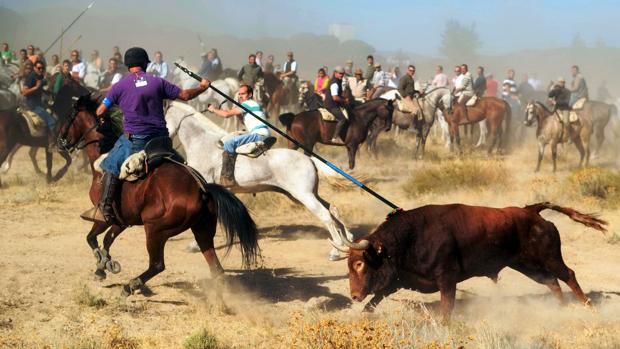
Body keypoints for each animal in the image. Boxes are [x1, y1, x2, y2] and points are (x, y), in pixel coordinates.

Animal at [58, 96, 260, 296]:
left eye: (69, 116)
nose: (60, 142)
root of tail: (202, 190)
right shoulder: (122, 220)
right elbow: (107, 240)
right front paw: (102, 266)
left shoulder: (103, 216)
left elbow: (91, 238)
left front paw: (103, 264)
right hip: (202, 231)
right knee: (215, 268)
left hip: (155, 230)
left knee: (157, 264)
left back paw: (131, 285)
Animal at [166, 100, 354, 258]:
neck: (202, 142)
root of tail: (309, 159)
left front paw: (195, 245)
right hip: (304, 195)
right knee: (332, 209)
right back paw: (347, 240)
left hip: (304, 195)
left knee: (325, 215)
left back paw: (336, 251)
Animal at [340, 203, 604, 320]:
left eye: (360, 264)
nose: (353, 295)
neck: (410, 238)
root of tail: (531, 210)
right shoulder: (399, 280)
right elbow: (375, 299)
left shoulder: (447, 279)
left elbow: (447, 307)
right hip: (527, 265)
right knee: (551, 282)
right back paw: (559, 309)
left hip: (550, 257)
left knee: (568, 275)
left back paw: (587, 306)